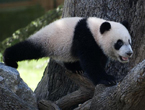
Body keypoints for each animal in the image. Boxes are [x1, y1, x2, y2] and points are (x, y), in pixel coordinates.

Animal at [3, 17, 133, 86]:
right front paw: (108, 79)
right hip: (46, 41)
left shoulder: (98, 46)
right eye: (119, 43)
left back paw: (75, 68)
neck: (95, 30)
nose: (129, 53)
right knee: (27, 49)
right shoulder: (85, 37)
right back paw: (9, 59)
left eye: (129, 41)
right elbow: (90, 63)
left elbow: (100, 59)